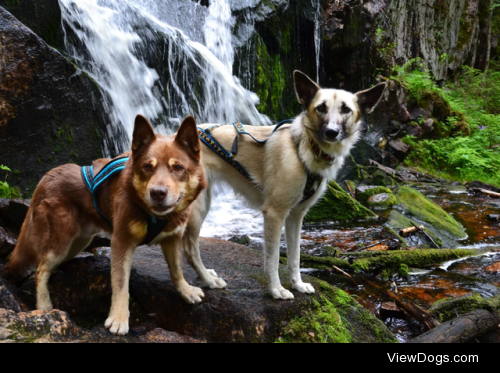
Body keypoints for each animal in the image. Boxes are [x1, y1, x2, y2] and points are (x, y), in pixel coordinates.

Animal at [7, 114, 207, 334]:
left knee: (49, 266)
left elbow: (177, 270)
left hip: (79, 242)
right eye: (148, 167)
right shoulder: (121, 242)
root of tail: (45, 178)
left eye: (178, 167)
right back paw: (44, 305)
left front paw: (186, 291)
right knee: (40, 270)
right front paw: (118, 318)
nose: (157, 193)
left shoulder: (173, 238)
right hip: (61, 240)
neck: (155, 216)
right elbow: (120, 283)